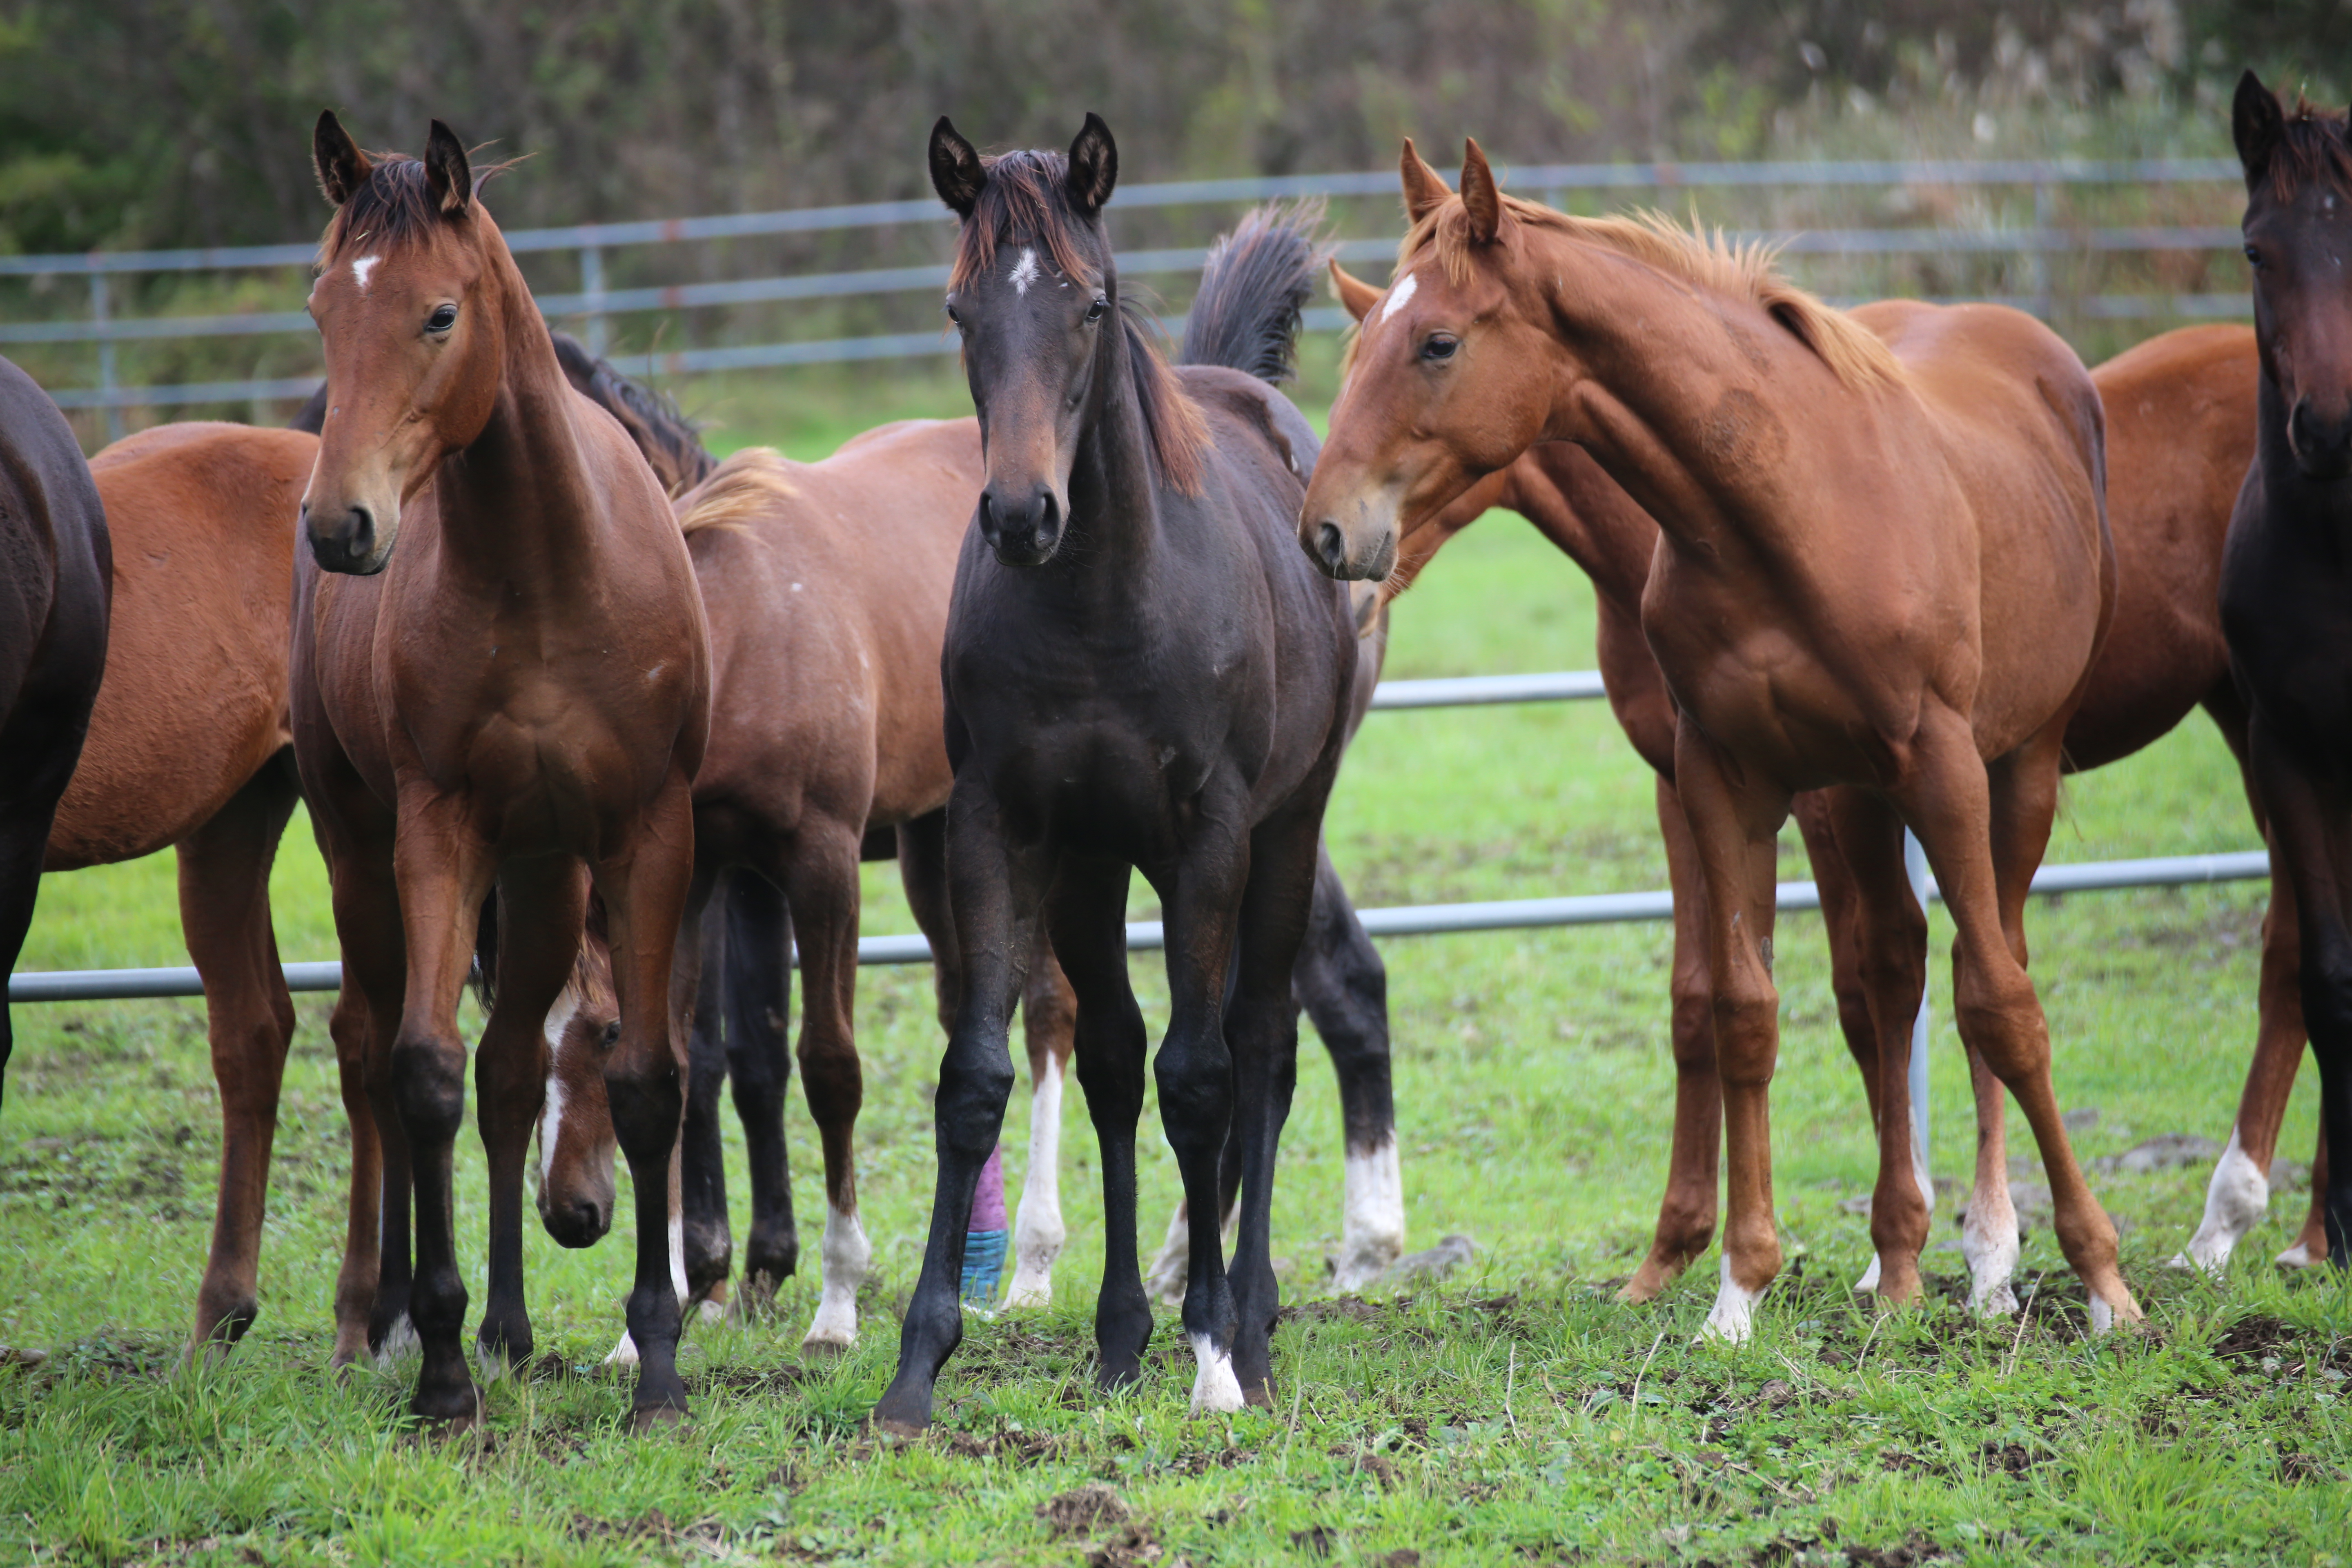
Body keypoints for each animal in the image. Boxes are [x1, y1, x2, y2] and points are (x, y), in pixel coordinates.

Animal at [290, 116, 706, 1429]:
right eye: (322, 305)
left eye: (438, 314)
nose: (342, 525)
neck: (544, 572)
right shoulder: (438, 830)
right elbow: (422, 1073)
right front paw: (438, 1364)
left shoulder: (642, 833)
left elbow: (646, 1079)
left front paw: (657, 1366)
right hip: (362, 854)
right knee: (377, 1052)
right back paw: (390, 1322)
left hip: (544, 878)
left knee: (515, 1068)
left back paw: (516, 1330)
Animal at [870, 116, 1354, 1429]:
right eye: (959, 308)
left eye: (1089, 306)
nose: (1021, 513)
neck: (1099, 604)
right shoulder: (1006, 830)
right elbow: (987, 1076)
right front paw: (917, 1365)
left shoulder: (1210, 837)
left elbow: (1204, 1075)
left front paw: (1215, 1354)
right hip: (1092, 873)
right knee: (1114, 1060)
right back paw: (1123, 1333)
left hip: (1286, 832)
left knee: (1260, 1045)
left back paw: (1249, 1317)